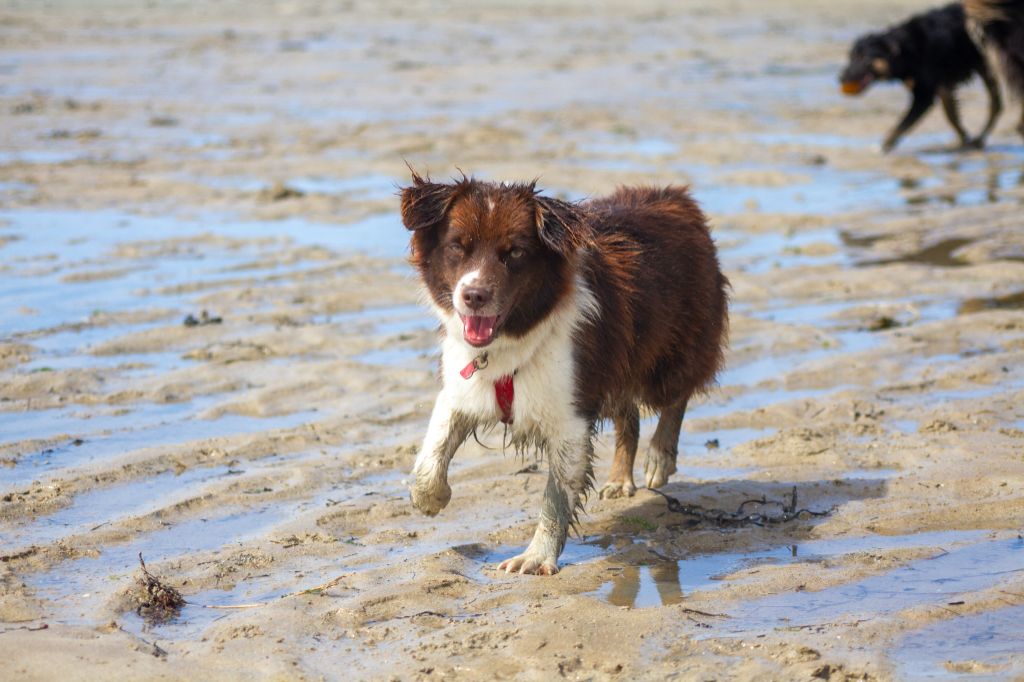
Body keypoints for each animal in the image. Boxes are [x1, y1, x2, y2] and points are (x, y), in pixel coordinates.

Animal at [399, 171, 729, 573]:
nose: (474, 296)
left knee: (676, 396)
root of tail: (674, 197)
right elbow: (433, 449)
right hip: (614, 363)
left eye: (515, 252)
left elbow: (555, 499)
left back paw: (660, 457)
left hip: (668, 353)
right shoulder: (464, 387)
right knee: (629, 415)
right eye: (457, 247)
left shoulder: (570, 415)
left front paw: (535, 557)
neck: (512, 342)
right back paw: (620, 479)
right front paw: (430, 497)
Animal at [839, 3, 999, 151]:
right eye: (851, 57)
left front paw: (882, 147)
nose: (841, 78)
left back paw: (980, 138)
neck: (905, 48)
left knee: (996, 104)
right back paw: (978, 139)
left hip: (989, 68)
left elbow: (901, 125)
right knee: (997, 105)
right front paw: (964, 139)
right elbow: (952, 117)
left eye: (864, 58)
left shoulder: (925, 95)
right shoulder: (943, 87)